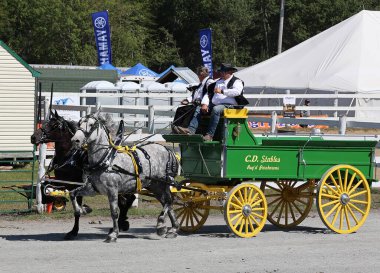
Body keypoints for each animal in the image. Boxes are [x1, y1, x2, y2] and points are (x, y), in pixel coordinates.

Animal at [30, 110, 135, 238]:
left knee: (125, 201)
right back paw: (121, 223)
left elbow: (77, 210)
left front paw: (74, 231)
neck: (72, 158)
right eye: (45, 122)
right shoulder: (67, 185)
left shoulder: (77, 185)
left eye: (54, 125)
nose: (33, 137)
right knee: (126, 200)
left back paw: (121, 224)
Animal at [70, 111, 180, 241]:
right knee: (167, 202)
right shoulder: (93, 189)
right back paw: (172, 229)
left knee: (169, 201)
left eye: (91, 125)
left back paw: (161, 224)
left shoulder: (112, 190)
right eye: (79, 123)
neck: (107, 160)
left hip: (163, 183)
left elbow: (114, 212)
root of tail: (167, 149)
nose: (75, 140)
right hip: (155, 186)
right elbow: (72, 193)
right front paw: (83, 210)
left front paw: (113, 234)